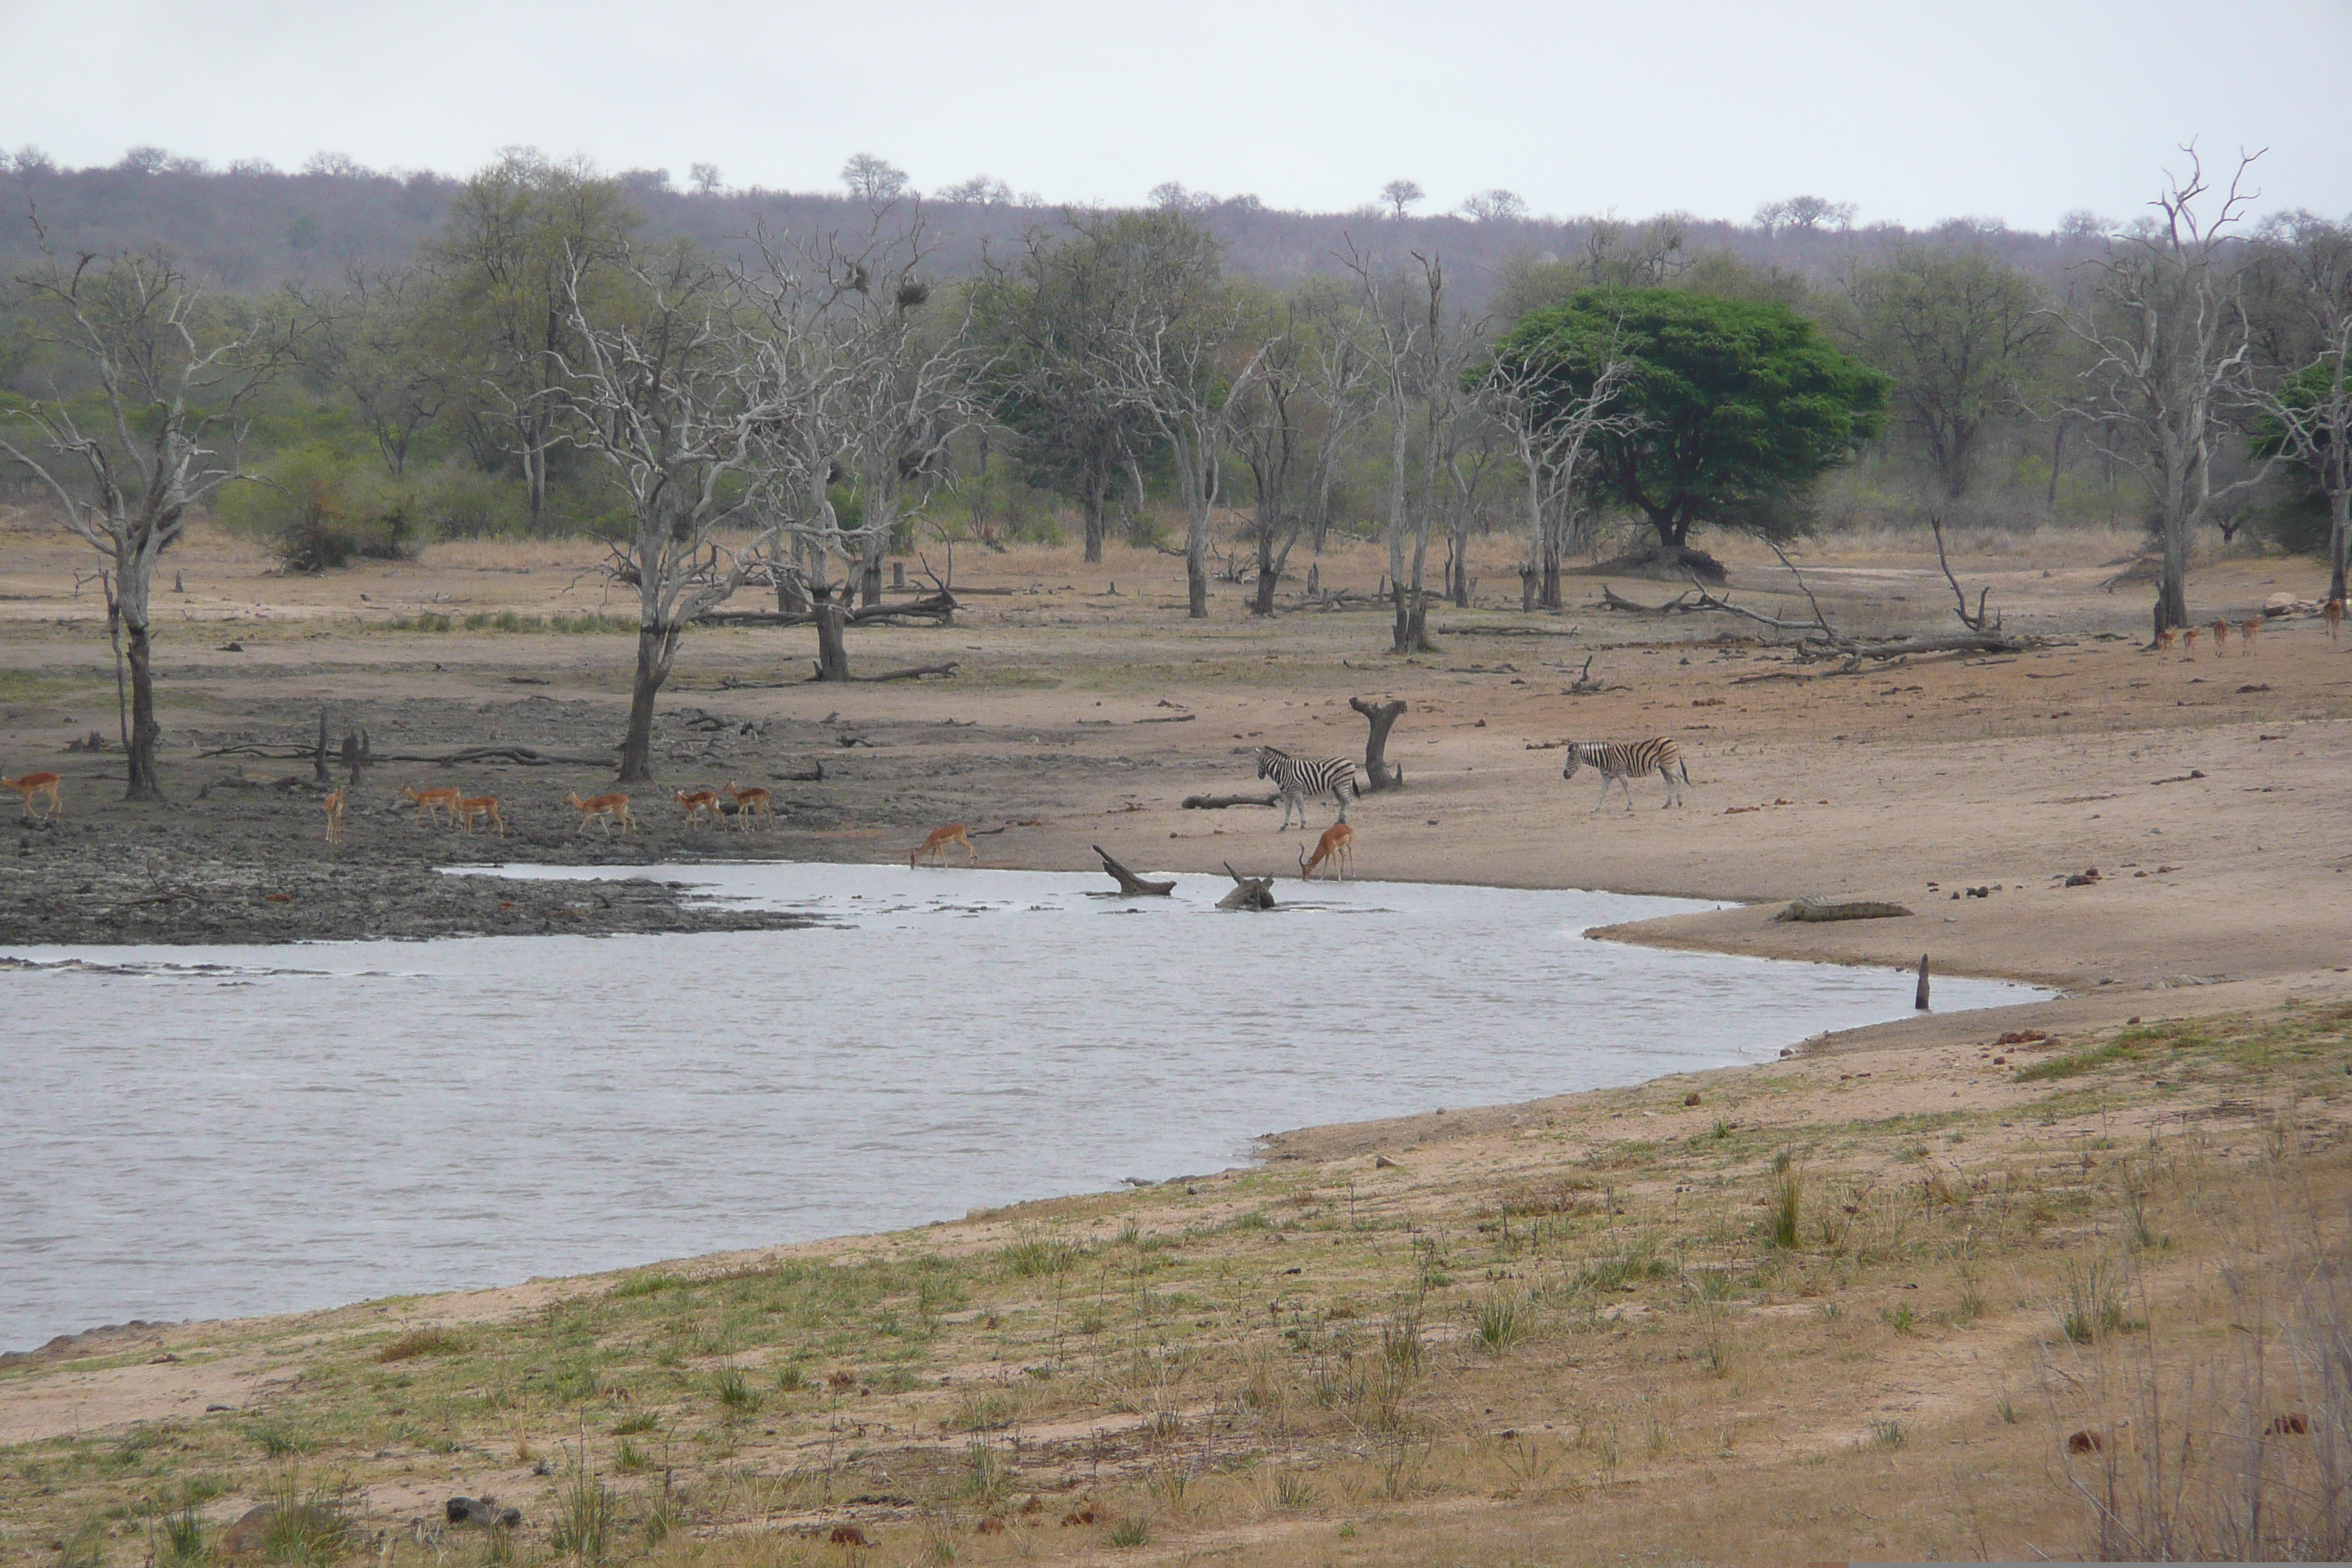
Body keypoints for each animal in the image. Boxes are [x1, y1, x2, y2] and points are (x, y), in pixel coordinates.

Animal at [1251, 747, 1364, 832]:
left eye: (1258, 761)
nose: (1260, 776)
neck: (1282, 771)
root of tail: (1349, 761)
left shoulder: (1296, 789)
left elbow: (1300, 807)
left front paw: (1303, 824)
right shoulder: (1288, 793)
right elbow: (1287, 809)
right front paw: (1284, 825)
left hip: (1342, 784)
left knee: (1348, 800)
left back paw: (1344, 821)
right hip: (1336, 787)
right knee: (1342, 802)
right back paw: (1339, 821)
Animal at [1561, 738, 1693, 818]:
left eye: (1571, 759)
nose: (1564, 775)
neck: (1604, 758)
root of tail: (1672, 740)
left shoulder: (1621, 772)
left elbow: (1626, 787)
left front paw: (1629, 806)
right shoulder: (1607, 777)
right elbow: (1602, 792)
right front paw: (1596, 808)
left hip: (1669, 764)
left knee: (1680, 778)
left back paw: (1679, 801)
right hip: (1664, 767)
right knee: (1670, 782)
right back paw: (1667, 804)